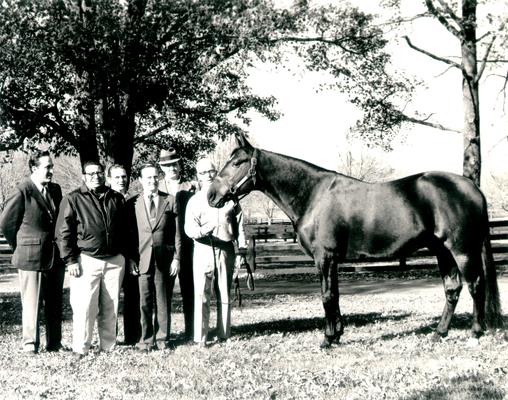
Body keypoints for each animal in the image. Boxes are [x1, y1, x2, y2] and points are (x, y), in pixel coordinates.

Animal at [207, 134, 504, 346]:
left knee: (475, 285)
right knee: (452, 289)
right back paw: (439, 332)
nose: (212, 195)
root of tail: (471, 187)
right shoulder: (332, 260)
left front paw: (327, 339)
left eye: (236, 163)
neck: (313, 195)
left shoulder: (324, 257)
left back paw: (476, 333)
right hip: (443, 251)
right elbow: (335, 295)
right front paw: (337, 334)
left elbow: (327, 295)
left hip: (462, 250)